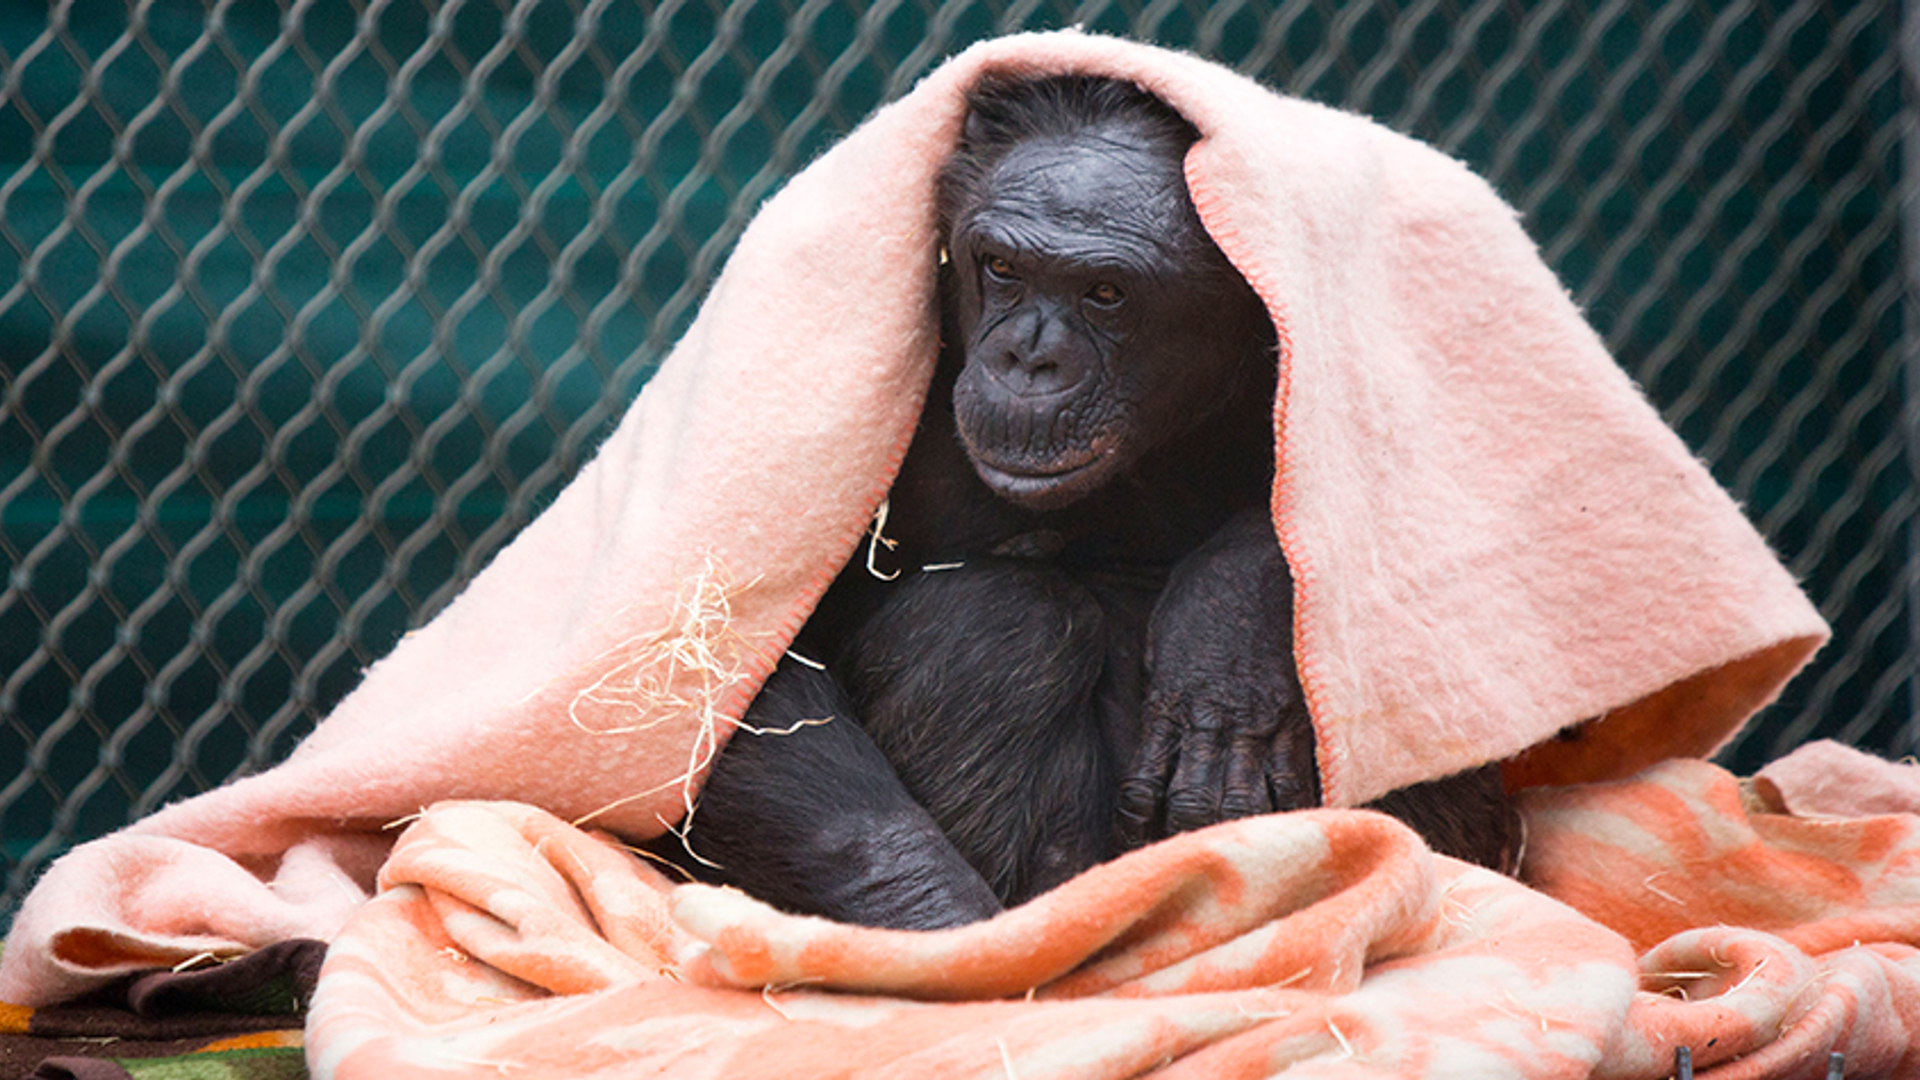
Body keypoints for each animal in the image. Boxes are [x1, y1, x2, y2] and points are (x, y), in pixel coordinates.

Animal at [660, 73, 1528, 926]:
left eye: (1105, 293)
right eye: (1002, 268)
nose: (1027, 358)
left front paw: (1229, 629)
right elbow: (734, 692)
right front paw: (944, 921)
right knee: (1001, 623)